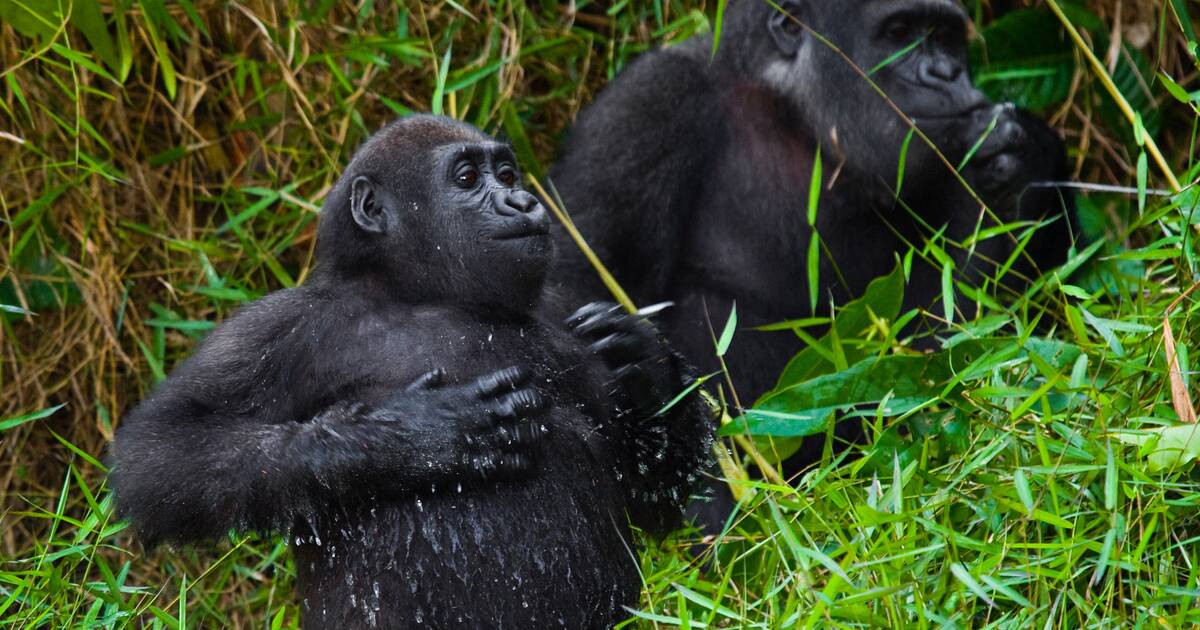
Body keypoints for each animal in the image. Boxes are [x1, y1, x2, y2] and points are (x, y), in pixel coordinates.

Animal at [110, 114, 710, 628]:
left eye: (507, 174)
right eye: (467, 178)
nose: (521, 200)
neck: (421, 294)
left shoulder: (564, 309)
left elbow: (652, 492)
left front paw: (651, 369)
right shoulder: (286, 324)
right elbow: (163, 452)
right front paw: (409, 436)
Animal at [549, 0, 1075, 400]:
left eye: (944, 37)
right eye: (899, 32)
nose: (946, 73)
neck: (786, 108)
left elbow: (953, 344)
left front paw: (1027, 162)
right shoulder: (649, 104)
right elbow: (573, 280)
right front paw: (652, 375)